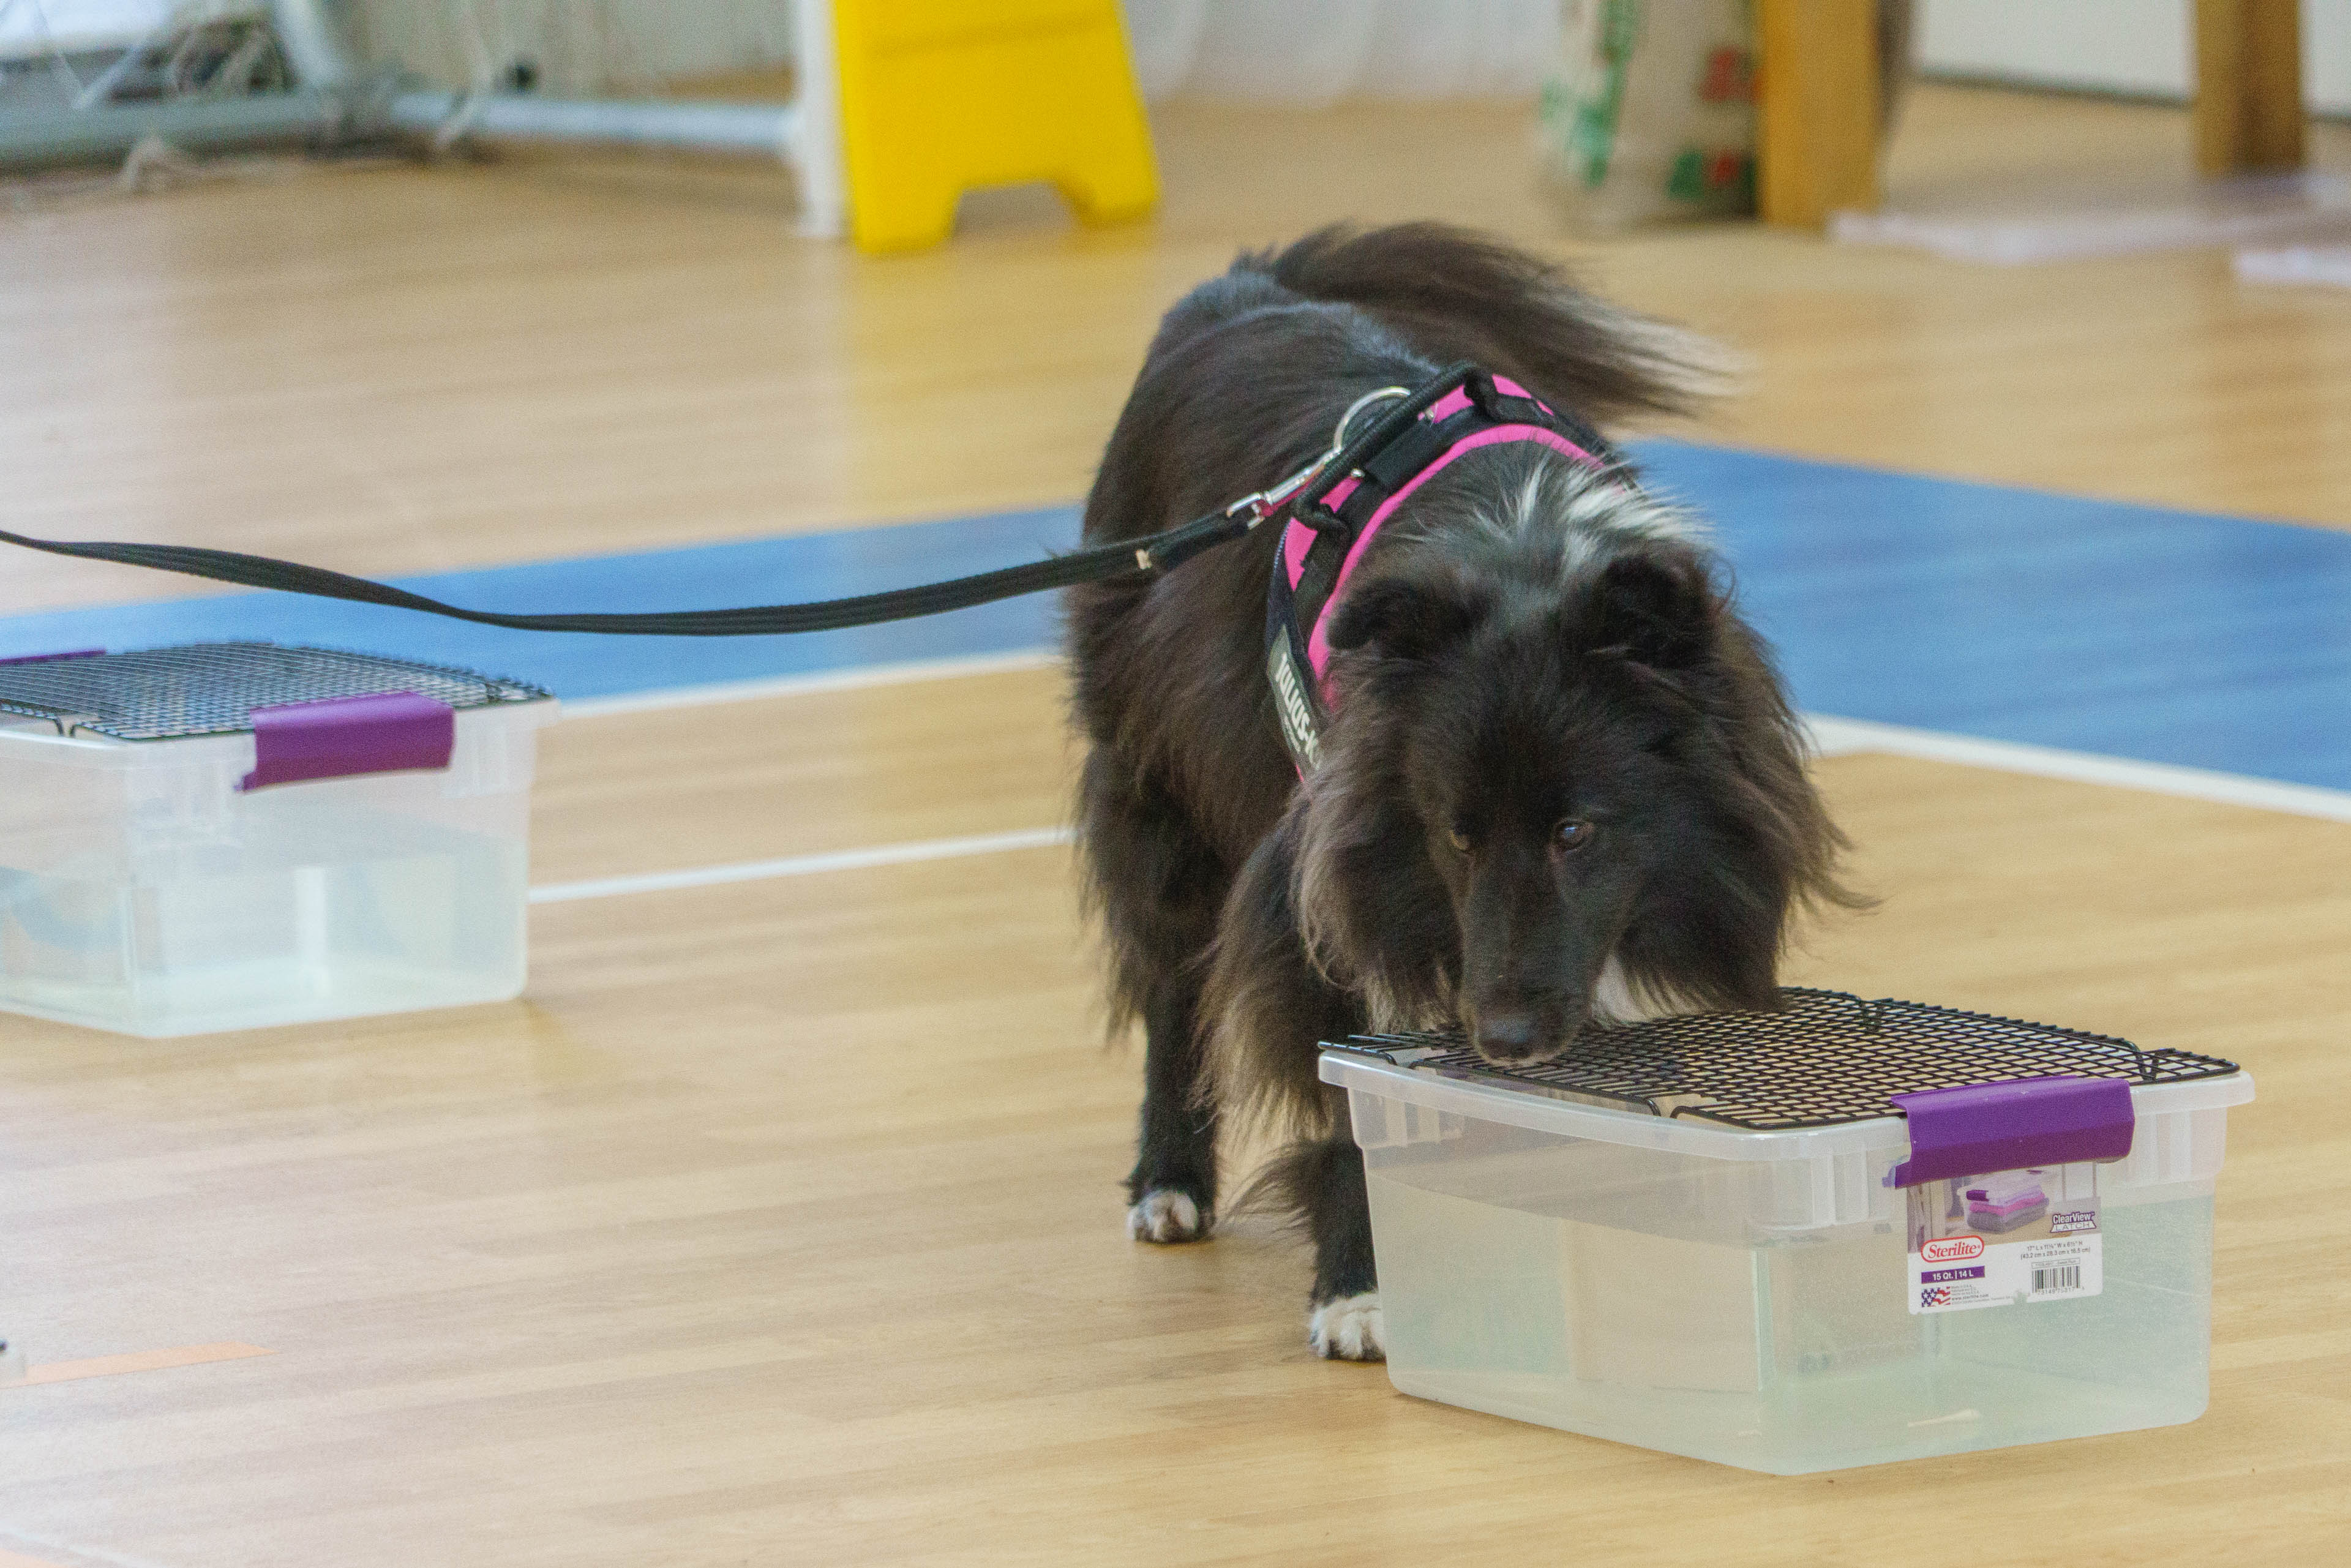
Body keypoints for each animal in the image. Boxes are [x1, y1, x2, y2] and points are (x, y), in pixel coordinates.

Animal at [1065, 224, 1852, 1361]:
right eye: (1455, 834)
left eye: (1577, 829)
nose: (1507, 1039)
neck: (1523, 551)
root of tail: (1238, 293)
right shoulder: (1329, 883)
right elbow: (1346, 1087)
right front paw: (1360, 1287)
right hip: (1156, 775)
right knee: (1173, 984)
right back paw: (1168, 1183)